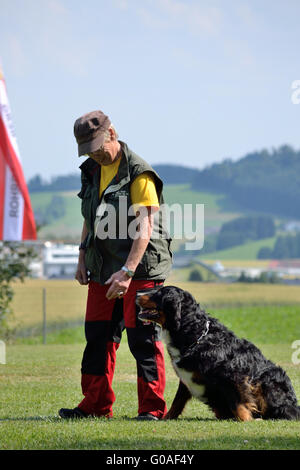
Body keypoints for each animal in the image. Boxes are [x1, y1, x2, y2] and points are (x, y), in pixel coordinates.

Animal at [137, 286, 298, 422]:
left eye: (159, 293)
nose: (137, 294)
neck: (196, 334)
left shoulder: (233, 375)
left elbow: (238, 401)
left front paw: (246, 419)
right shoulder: (185, 378)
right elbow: (177, 401)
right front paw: (167, 417)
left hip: (268, 380)